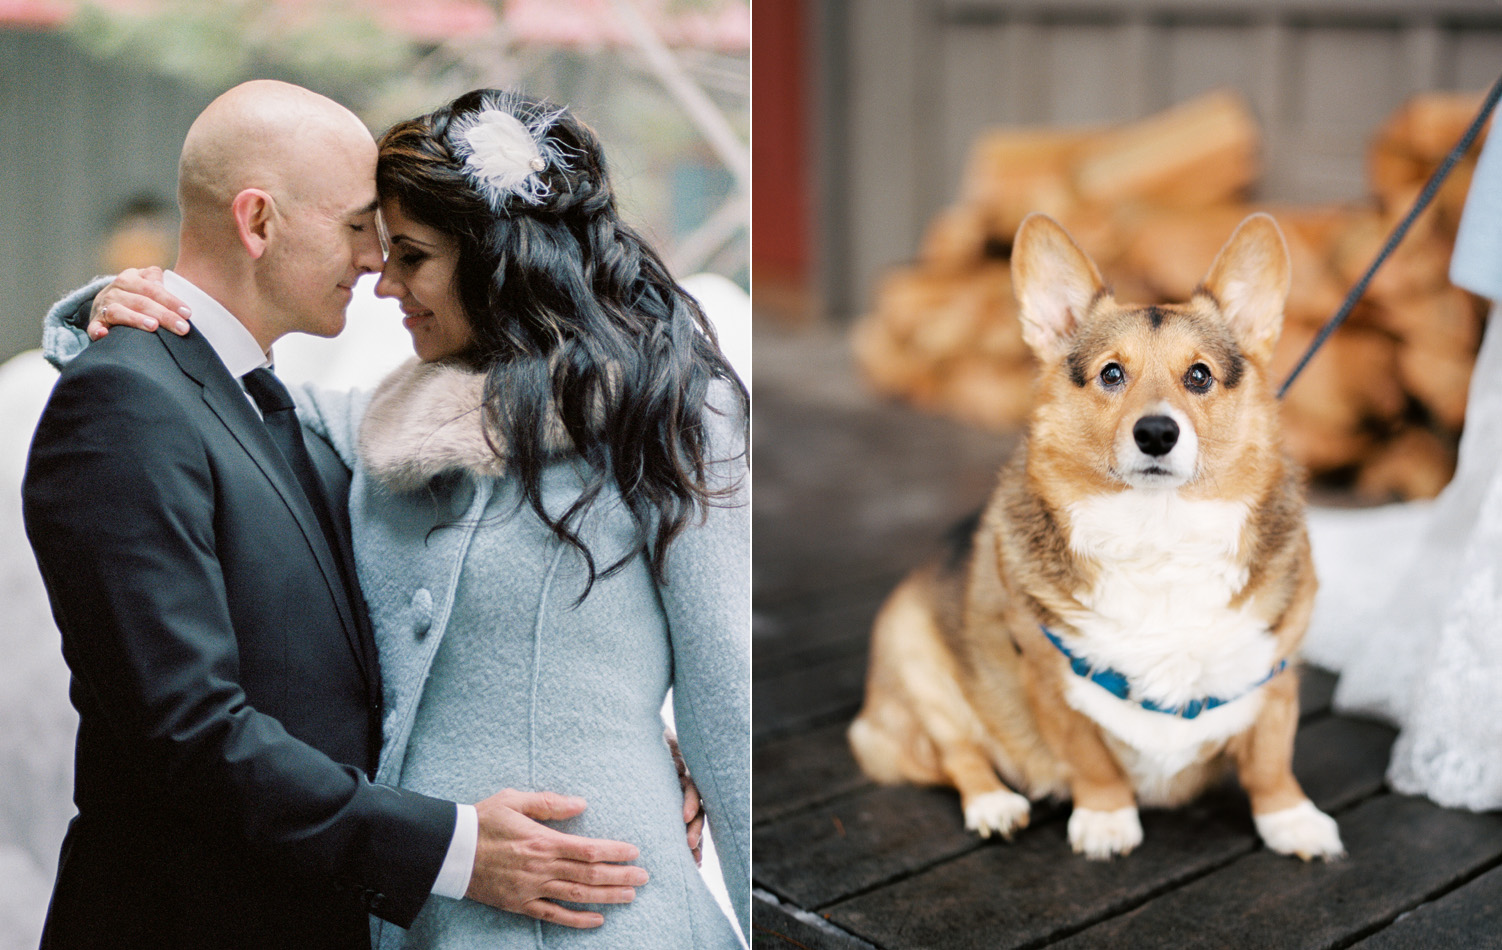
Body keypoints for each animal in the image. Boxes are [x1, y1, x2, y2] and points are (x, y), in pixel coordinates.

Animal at [853, 213, 1345, 859]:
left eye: (1200, 376)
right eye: (1112, 373)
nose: (1157, 433)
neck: (1160, 535)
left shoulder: (1275, 672)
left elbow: (1270, 761)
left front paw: (1290, 819)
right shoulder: (1049, 678)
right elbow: (1091, 760)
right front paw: (1107, 820)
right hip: (915, 662)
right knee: (958, 752)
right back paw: (993, 804)